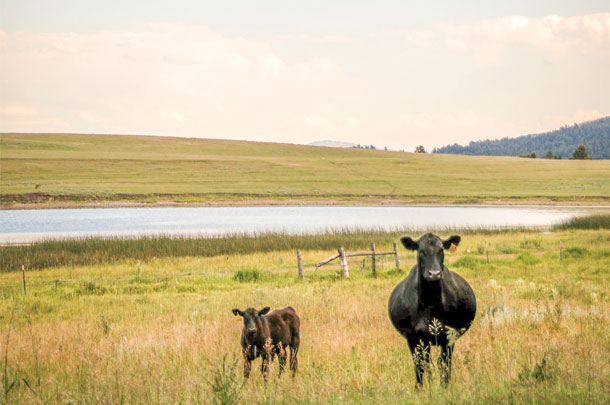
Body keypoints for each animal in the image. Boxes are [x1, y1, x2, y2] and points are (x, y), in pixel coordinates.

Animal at [390, 234, 476, 386]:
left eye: (441, 250)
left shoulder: (449, 336)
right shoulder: (413, 337)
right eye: (421, 251)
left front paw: (444, 386)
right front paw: (419, 388)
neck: (430, 304)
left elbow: (444, 364)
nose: (434, 274)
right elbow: (419, 366)